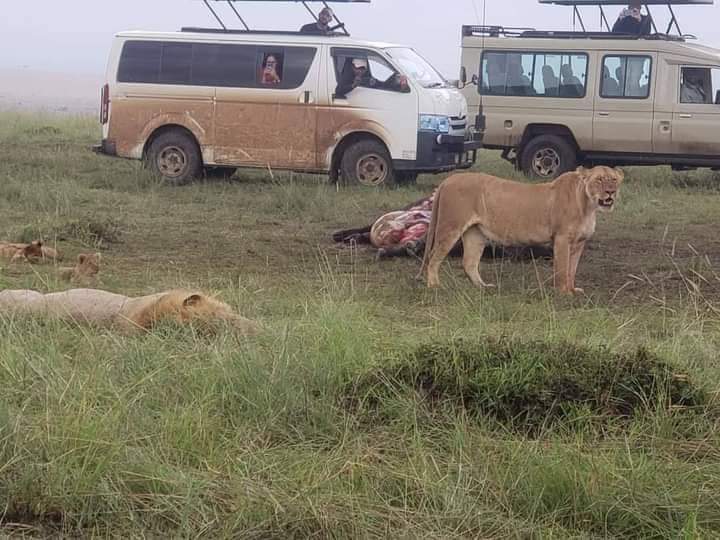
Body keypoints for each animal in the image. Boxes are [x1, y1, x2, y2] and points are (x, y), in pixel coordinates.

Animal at [420, 167, 620, 296]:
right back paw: (434, 286)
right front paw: (564, 293)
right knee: (433, 257)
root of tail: (448, 180)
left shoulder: (579, 243)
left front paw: (572, 289)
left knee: (468, 262)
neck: (589, 206)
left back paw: (483, 287)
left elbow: (572, 269)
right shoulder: (562, 239)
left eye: (614, 179)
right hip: (450, 227)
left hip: (476, 233)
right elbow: (563, 268)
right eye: (599, 179)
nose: (611, 192)